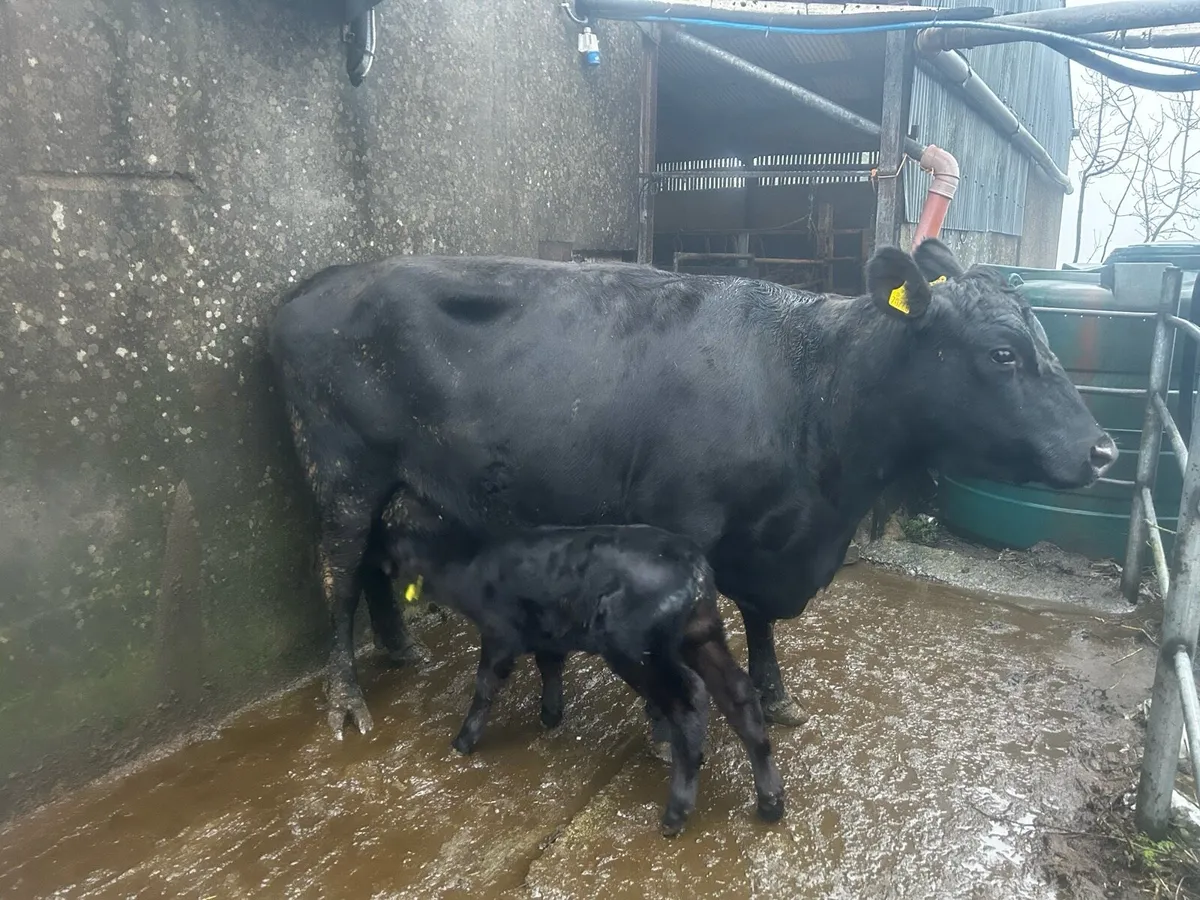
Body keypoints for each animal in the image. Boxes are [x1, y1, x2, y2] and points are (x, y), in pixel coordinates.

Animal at [267, 238, 1118, 741]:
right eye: (1003, 353)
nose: (1105, 449)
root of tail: (317, 282)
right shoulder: (680, 527)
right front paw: (670, 719)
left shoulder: (773, 535)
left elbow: (761, 622)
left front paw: (776, 696)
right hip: (341, 470)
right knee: (336, 572)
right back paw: (346, 702)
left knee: (375, 560)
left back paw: (402, 650)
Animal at [374, 514, 785, 836]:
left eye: (386, 537)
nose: (376, 568)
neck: (466, 562)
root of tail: (695, 567)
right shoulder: (546, 632)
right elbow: (550, 667)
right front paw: (550, 714)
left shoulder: (499, 633)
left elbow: (485, 686)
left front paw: (463, 740)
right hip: (700, 634)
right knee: (738, 693)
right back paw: (771, 801)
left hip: (635, 650)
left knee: (689, 704)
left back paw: (676, 813)